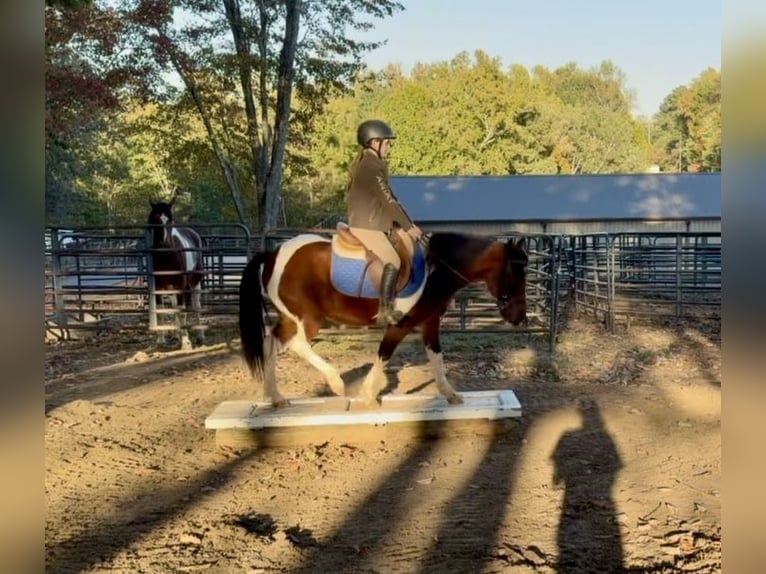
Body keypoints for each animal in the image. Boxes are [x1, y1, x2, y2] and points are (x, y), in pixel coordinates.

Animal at [238, 229, 527, 408]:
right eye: (517, 274)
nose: (520, 317)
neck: (436, 270)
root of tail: (273, 254)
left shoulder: (429, 322)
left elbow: (436, 357)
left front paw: (451, 394)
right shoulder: (401, 324)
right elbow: (384, 353)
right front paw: (368, 395)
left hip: (291, 317)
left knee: (270, 342)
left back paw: (276, 397)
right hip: (308, 318)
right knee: (296, 344)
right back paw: (336, 383)